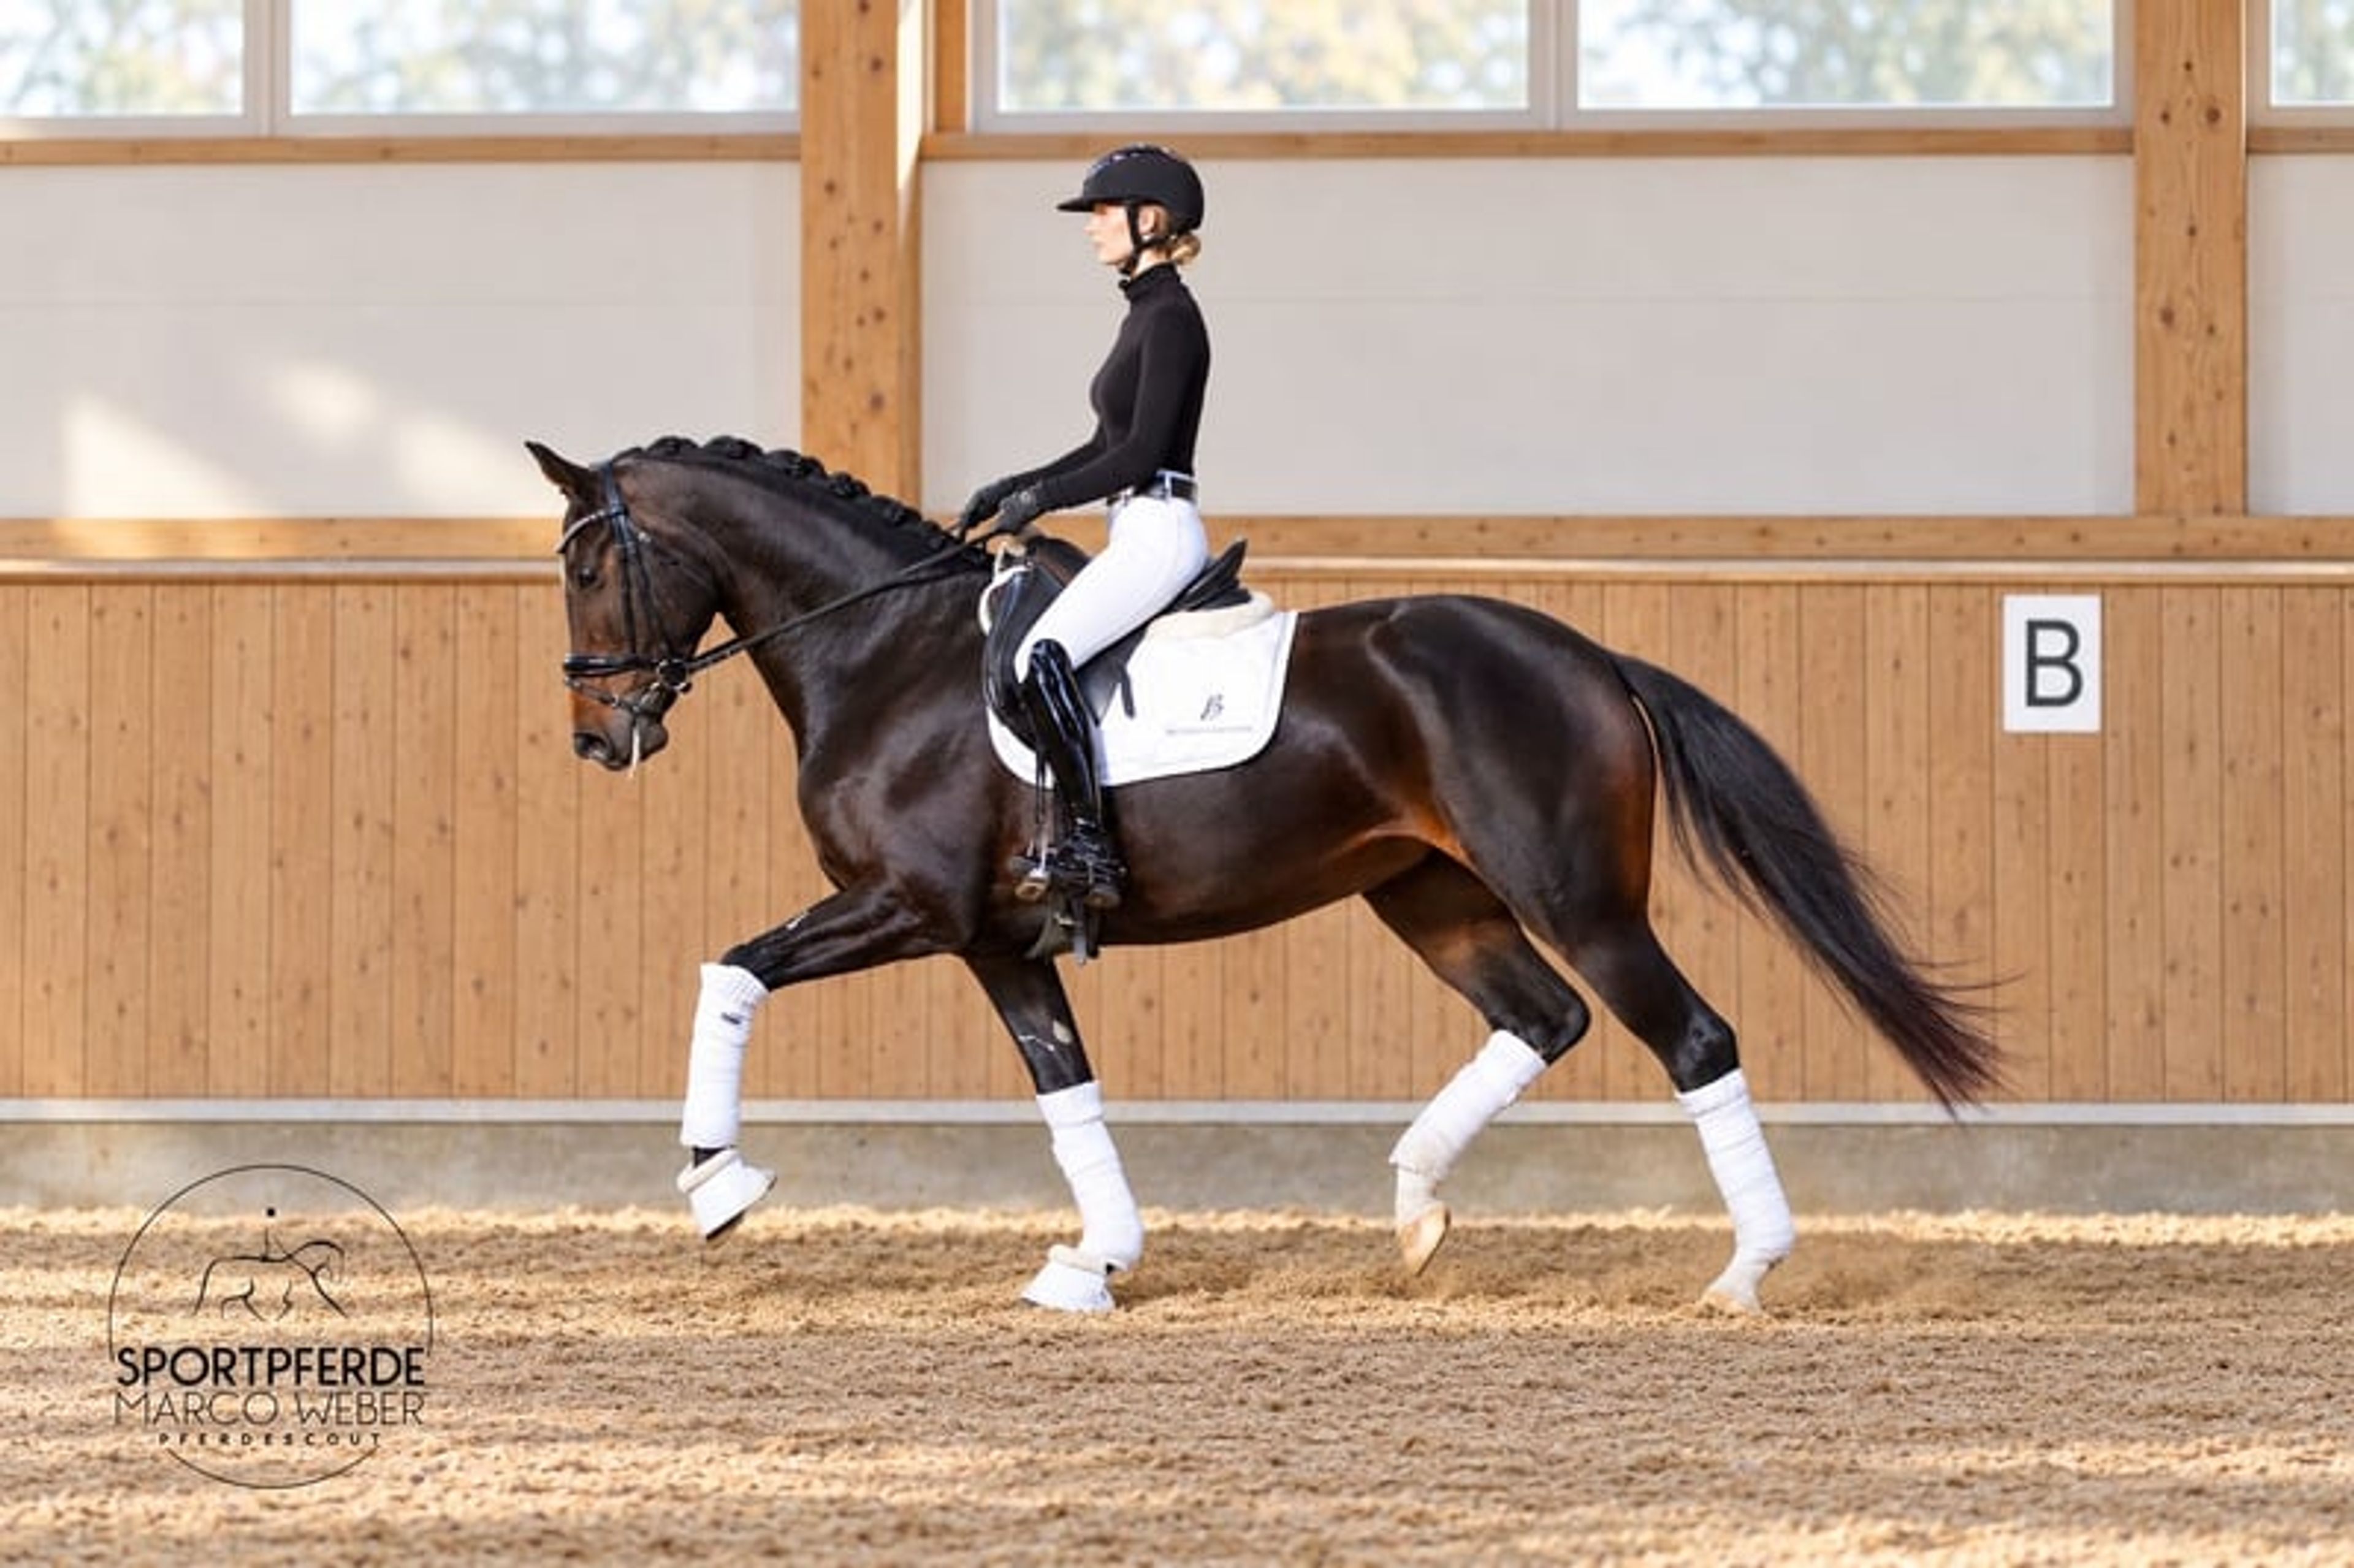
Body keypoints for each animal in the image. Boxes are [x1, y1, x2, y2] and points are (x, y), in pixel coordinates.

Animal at [530, 434, 1999, 1315]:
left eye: (593, 563)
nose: (599, 736)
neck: (887, 654)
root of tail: (1589, 657)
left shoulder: (908, 908)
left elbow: (731, 968)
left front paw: (719, 1183)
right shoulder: (997, 940)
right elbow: (1068, 1090)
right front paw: (1097, 1260)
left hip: (1576, 897)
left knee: (1690, 1035)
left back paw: (1744, 1269)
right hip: (1429, 892)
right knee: (1544, 1018)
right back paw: (1414, 1212)